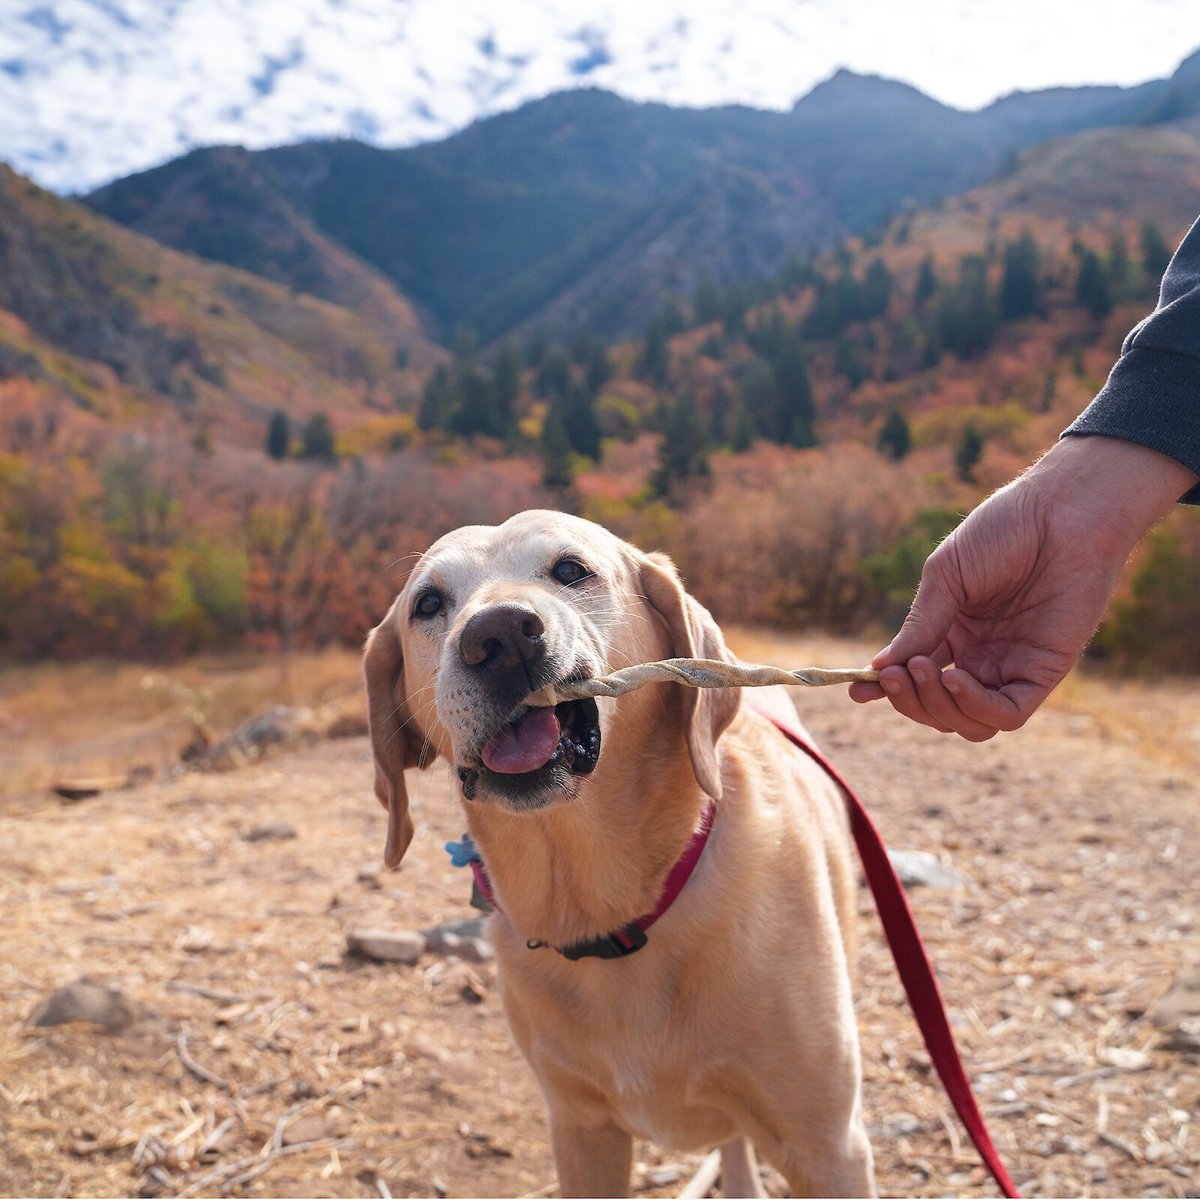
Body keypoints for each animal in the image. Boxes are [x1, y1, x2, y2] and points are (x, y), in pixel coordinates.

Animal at [362, 511, 873, 1195]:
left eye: (571, 569)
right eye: (428, 604)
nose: (500, 636)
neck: (610, 913)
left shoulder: (828, 1149)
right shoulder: (582, 1131)